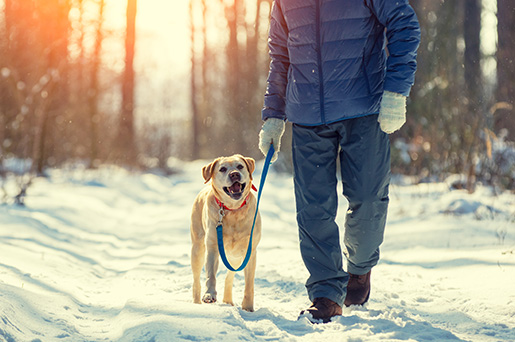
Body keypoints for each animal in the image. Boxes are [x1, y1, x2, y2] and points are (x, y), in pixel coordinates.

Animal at [190, 155, 262, 312]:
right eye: (222, 169)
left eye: (240, 166)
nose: (234, 174)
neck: (233, 209)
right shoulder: (213, 247)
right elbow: (210, 275)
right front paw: (209, 295)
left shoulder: (250, 251)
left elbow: (249, 283)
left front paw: (248, 308)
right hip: (197, 248)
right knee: (196, 280)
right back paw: (197, 302)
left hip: (236, 257)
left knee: (230, 276)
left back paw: (228, 300)